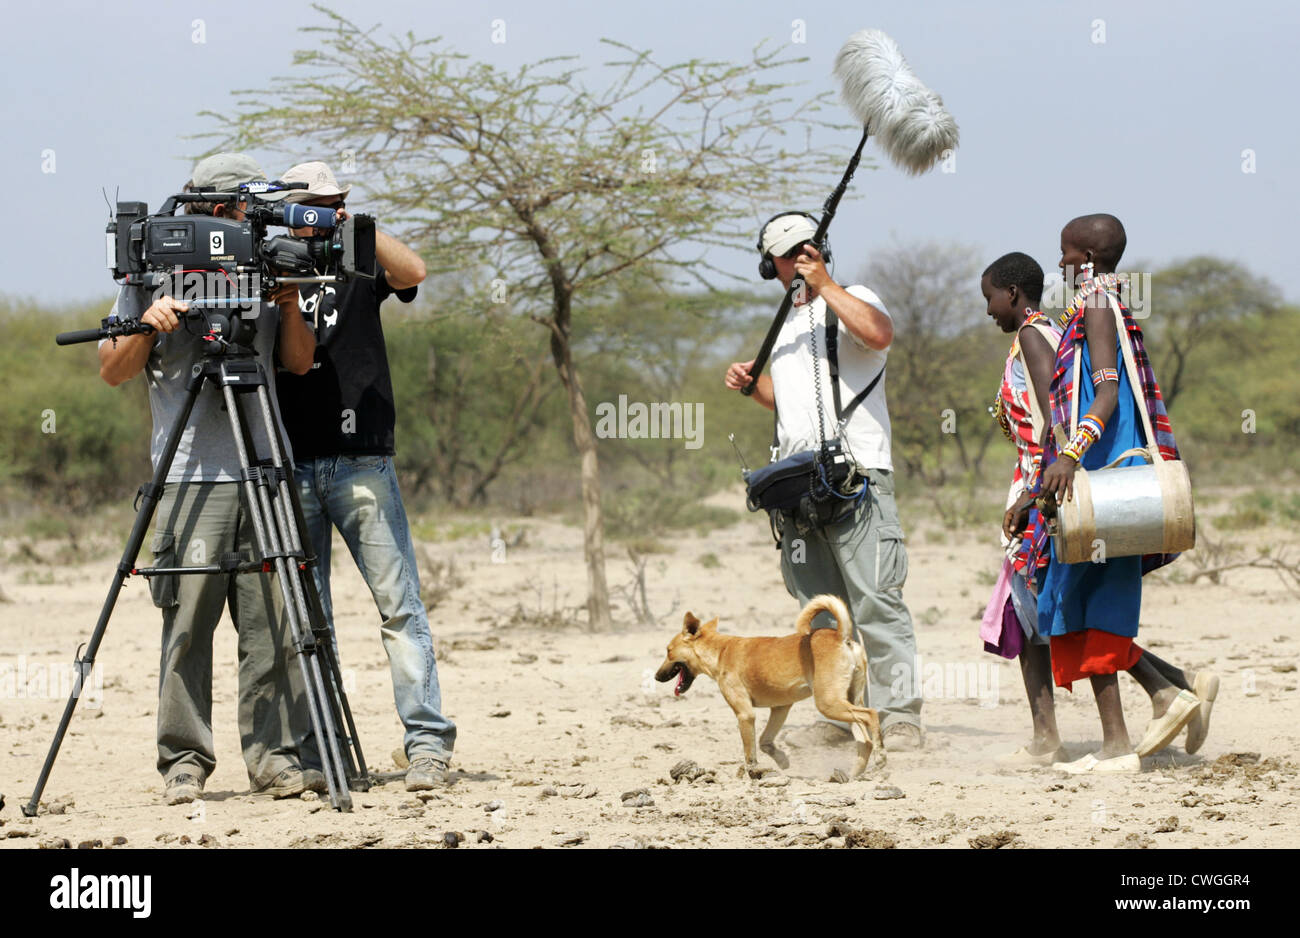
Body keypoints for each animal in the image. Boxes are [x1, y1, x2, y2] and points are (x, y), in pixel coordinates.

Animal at [660, 592, 883, 774]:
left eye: (668, 651)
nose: (656, 676)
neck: (721, 651)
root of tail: (841, 636)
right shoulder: (780, 708)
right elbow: (764, 742)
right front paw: (782, 760)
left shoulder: (745, 714)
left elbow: (750, 753)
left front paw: (752, 774)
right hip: (848, 701)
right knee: (865, 741)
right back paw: (853, 774)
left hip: (829, 703)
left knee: (871, 716)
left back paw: (881, 755)